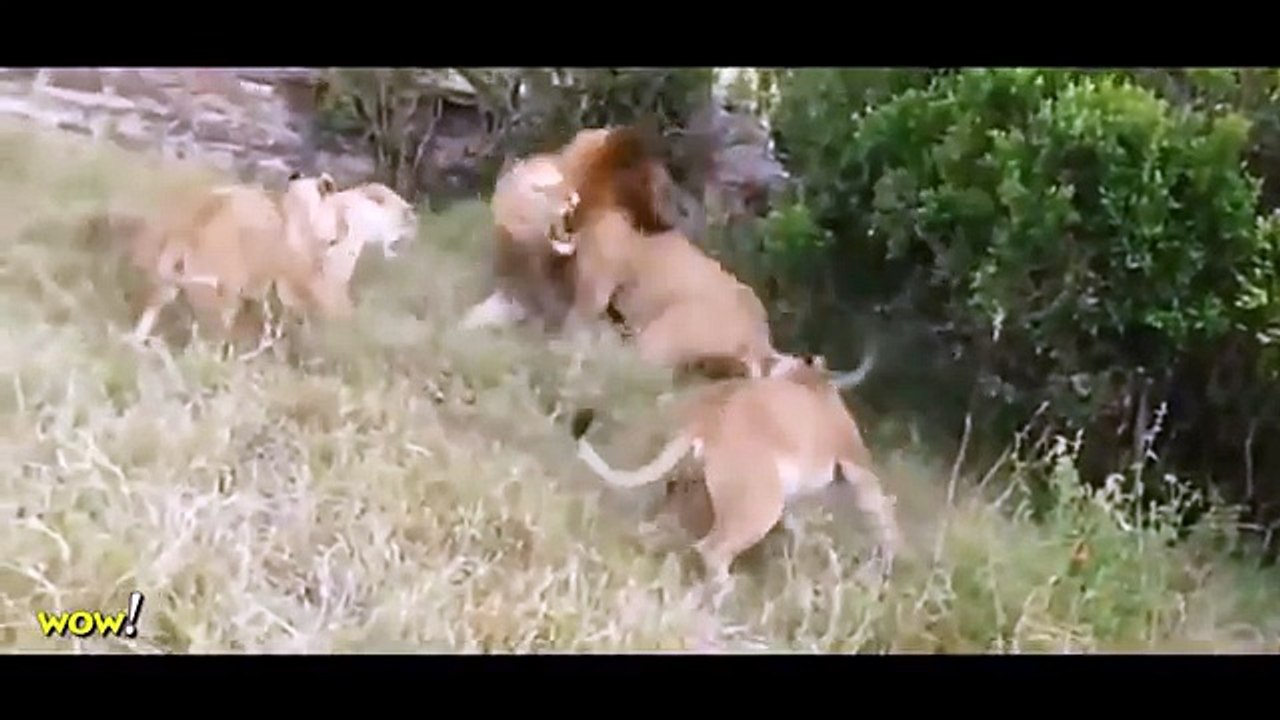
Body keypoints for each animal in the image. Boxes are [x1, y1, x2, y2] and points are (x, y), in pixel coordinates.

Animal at [569, 346, 900, 605]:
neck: (809, 383)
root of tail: (707, 419)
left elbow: (801, 533)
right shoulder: (858, 467)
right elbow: (882, 511)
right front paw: (885, 564)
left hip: (690, 491)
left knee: (659, 529)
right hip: (758, 506)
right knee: (712, 550)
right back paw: (722, 597)